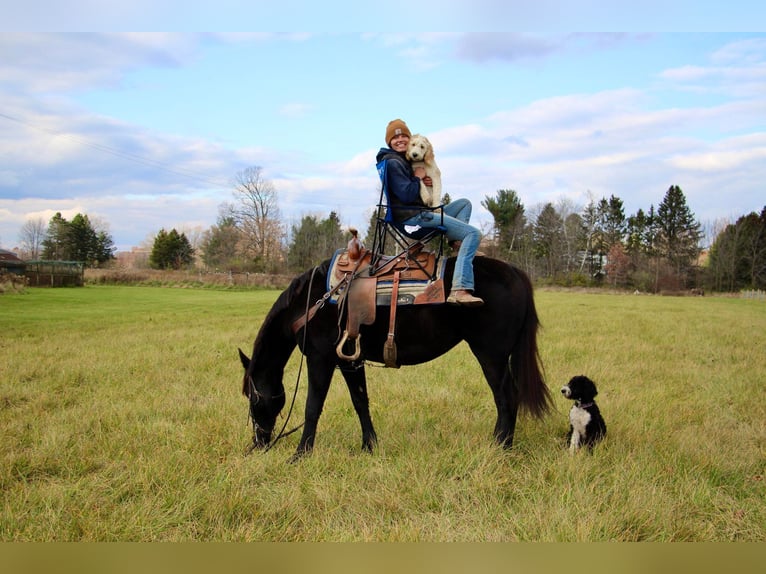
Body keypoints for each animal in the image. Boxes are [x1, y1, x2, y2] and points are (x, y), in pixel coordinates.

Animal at [238, 258, 552, 462]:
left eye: (253, 398)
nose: (259, 443)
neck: (312, 303)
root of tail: (515, 273)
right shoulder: (349, 360)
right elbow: (360, 402)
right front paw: (369, 447)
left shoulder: (321, 359)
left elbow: (312, 408)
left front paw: (300, 455)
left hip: (491, 356)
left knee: (506, 397)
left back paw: (501, 446)